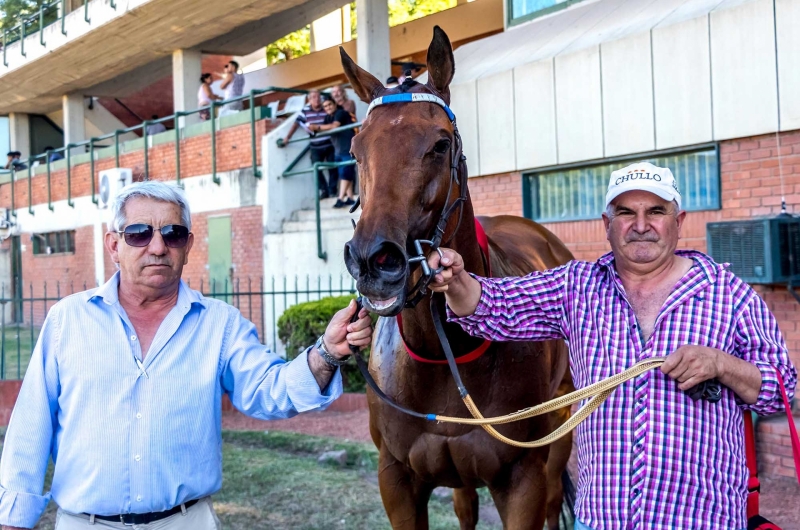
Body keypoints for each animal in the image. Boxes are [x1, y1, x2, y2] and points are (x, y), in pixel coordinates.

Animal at [344, 26, 576, 524]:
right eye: (355, 149)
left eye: (440, 144)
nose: (374, 261)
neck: (444, 354)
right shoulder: (396, 478)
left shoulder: (523, 477)